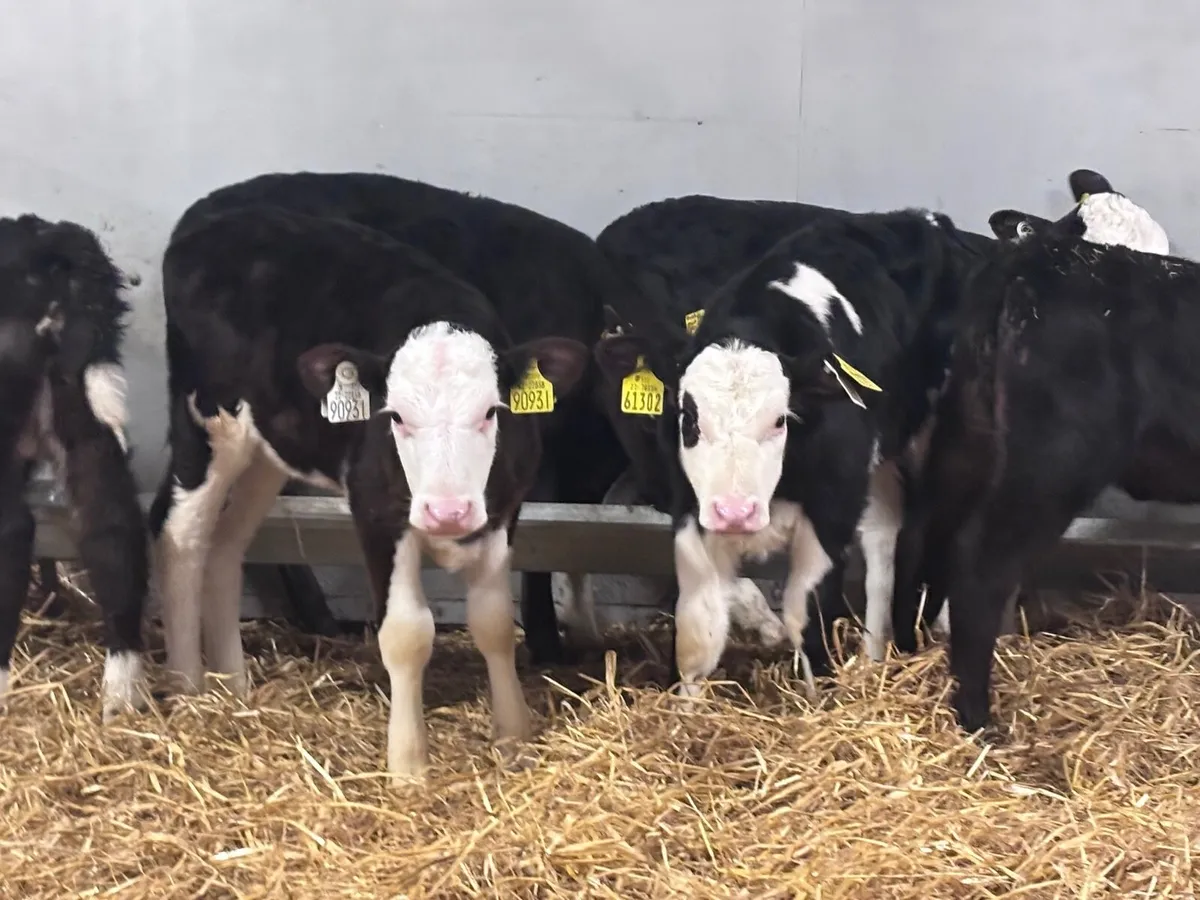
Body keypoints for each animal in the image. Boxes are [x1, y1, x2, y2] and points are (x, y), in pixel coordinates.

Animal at [148, 204, 599, 775]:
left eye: (491, 412)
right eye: (396, 416)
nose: (447, 511)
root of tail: (212, 225)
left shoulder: (502, 511)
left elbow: (494, 622)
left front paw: (513, 735)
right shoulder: (376, 511)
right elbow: (407, 634)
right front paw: (408, 765)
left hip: (269, 446)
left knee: (227, 544)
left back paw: (234, 685)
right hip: (206, 422)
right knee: (181, 535)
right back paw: (188, 686)